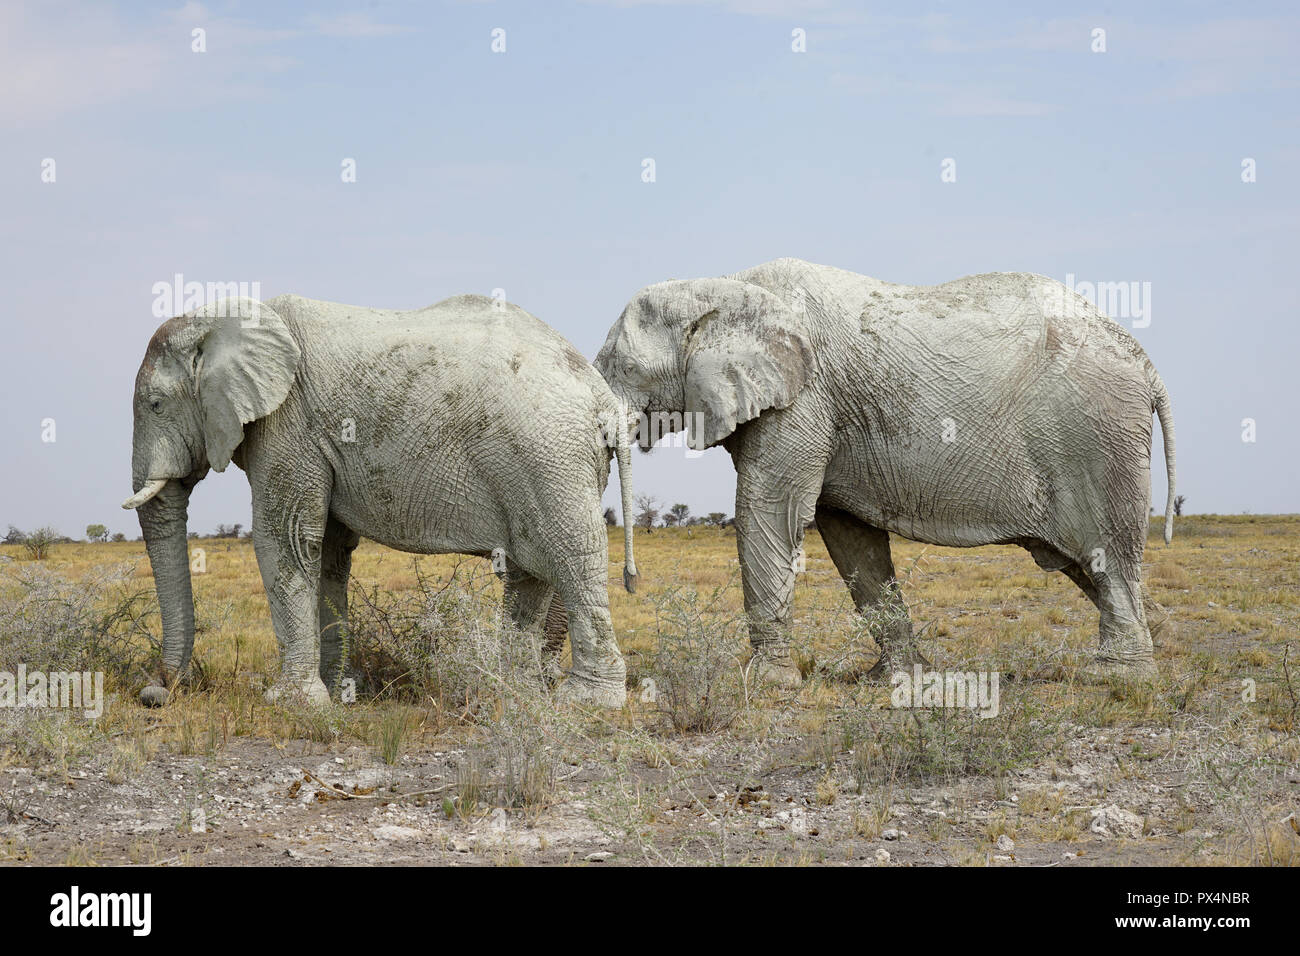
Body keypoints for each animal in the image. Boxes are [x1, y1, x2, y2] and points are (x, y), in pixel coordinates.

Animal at [124, 295, 637, 707]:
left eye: (155, 405)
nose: (156, 692)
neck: (221, 317)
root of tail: (604, 397)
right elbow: (327, 553)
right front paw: (337, 693)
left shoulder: (288, 426)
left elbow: (286, 540)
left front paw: (291, 703)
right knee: (530, 573)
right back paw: (515, 692)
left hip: (550, 459)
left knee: (570, 560)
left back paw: (587, 701)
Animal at [598, 257, 1180, 686]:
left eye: (623, 367)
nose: (631, 583)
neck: (719, 285)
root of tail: (1146, 363)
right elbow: (850, 539)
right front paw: (897, 679)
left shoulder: (803, 400)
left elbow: (769, 513)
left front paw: (767, 684)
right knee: (1084, 564)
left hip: (1099, 435)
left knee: (1106, 555)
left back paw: (1118, 677)